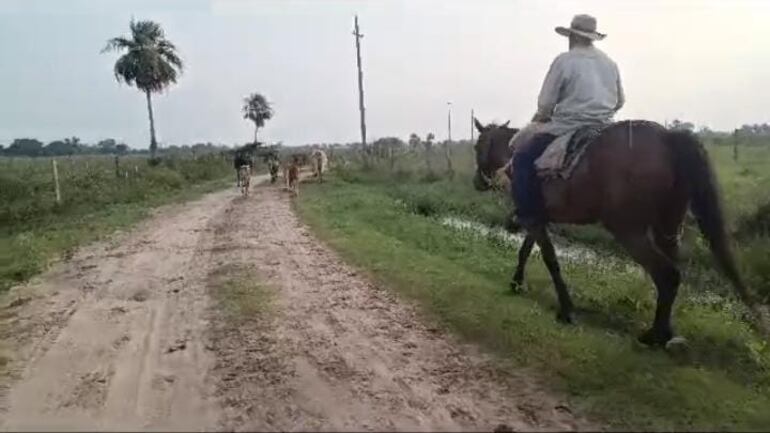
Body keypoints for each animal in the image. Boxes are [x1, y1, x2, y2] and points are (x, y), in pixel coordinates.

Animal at [472, 117, 760, 344]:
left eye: (477, 146)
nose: (478, 183)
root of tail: (668, 137)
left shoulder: (534, 218)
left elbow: (550, 259)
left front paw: (566, 309)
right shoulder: (537, 218)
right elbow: (526, 250)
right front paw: (516, 283)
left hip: (628, 230)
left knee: (667, 274)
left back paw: (654, 336)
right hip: (668, 226)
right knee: (672, 271)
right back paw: (667, 332)